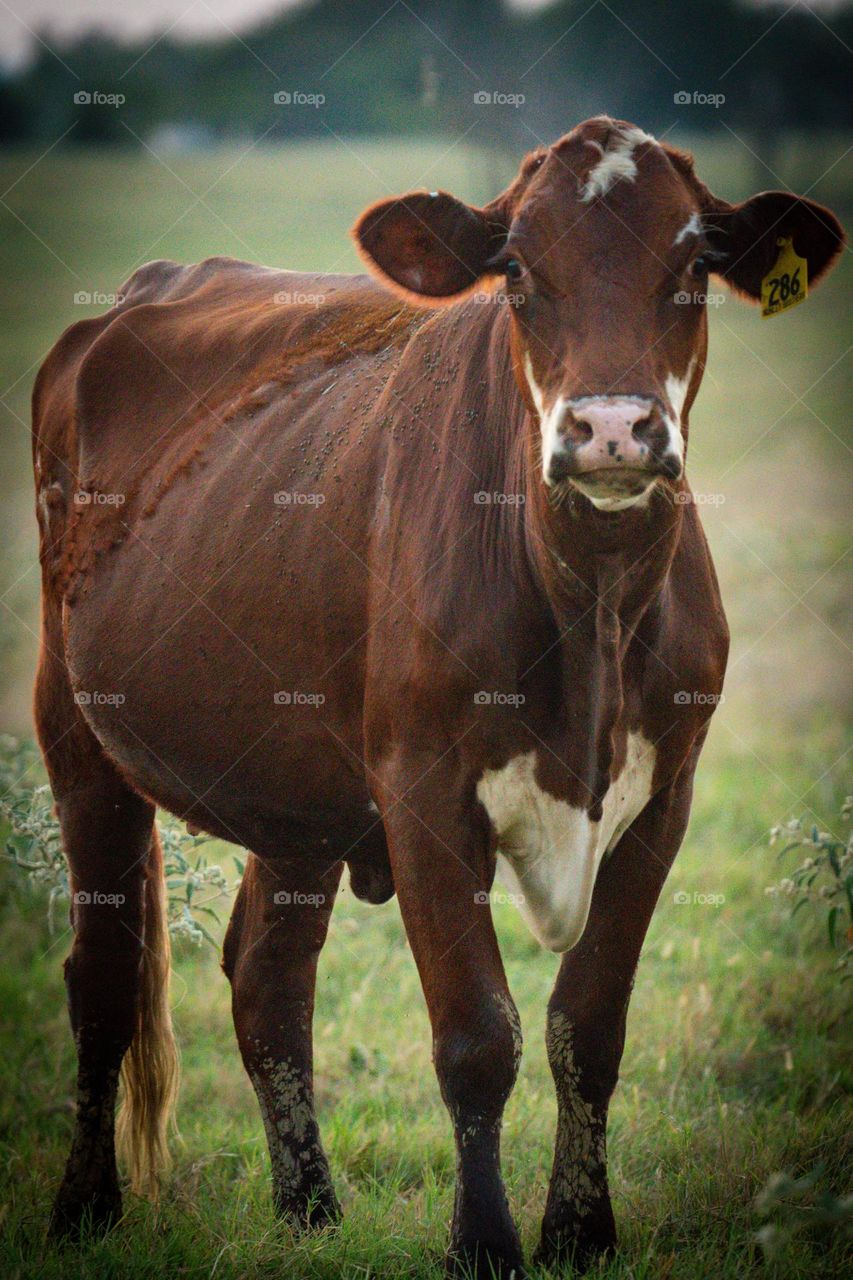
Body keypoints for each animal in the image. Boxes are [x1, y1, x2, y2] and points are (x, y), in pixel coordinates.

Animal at [31, 115, 835, 1274]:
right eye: (518, 271)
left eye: (691, 266)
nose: (609, 430)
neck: (592, 603)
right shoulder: (421, 786)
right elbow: (477, 1035)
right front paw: (485, 1243)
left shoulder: (667, 792)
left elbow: (589, 1024)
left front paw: (581, 1230)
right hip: (73, 721)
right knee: (102, 975)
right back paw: (84, 1207)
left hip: (297, 777)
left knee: (268, 973)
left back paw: (310, 1207)